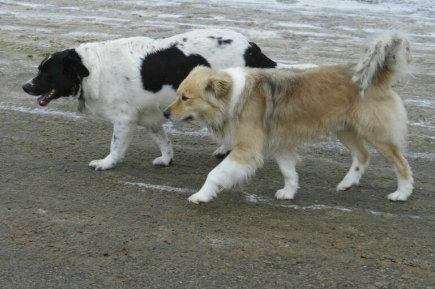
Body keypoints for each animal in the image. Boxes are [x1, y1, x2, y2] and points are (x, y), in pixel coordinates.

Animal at [23, 28, 316, 170]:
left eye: (45, 72)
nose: (25, 86)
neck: (92, 69)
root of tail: (252, 48)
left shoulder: (124, 121)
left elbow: (115, 147)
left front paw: (107, 164)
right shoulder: (150, 118)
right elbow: (164, 142)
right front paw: (166, 160)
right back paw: (224, 149)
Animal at [165, 32, 414, 204]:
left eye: (185, 98)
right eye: (178, 94)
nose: (165, 113)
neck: (235, 96)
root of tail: (378, 77)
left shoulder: (247, 149)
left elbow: (215, 174)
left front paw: (201, 195)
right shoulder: (280, 143)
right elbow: (288, 171)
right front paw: (289, 192)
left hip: (376, 134)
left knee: (401, 163)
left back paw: (402, 193)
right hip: (344, 129)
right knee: (362, 155)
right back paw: (347, 183)